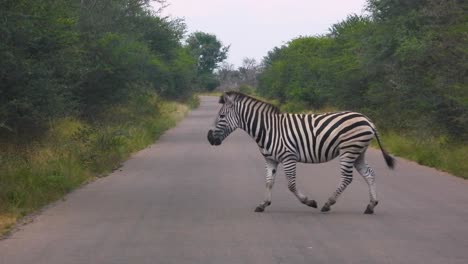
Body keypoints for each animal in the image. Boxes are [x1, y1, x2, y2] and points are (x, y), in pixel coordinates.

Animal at [207, 92, 394, 213]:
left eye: (222, 116)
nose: (209, 138)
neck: (267, 129)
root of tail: (367, 119)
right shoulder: (271, 159)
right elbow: (268, 182)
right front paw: (263, 204)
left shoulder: (288, 157)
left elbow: (291, 184)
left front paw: (309, 202)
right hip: (358, 152)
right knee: (369, 174)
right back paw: (371, 206)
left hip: (349, 150)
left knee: (347, 178)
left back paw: (328, 204)